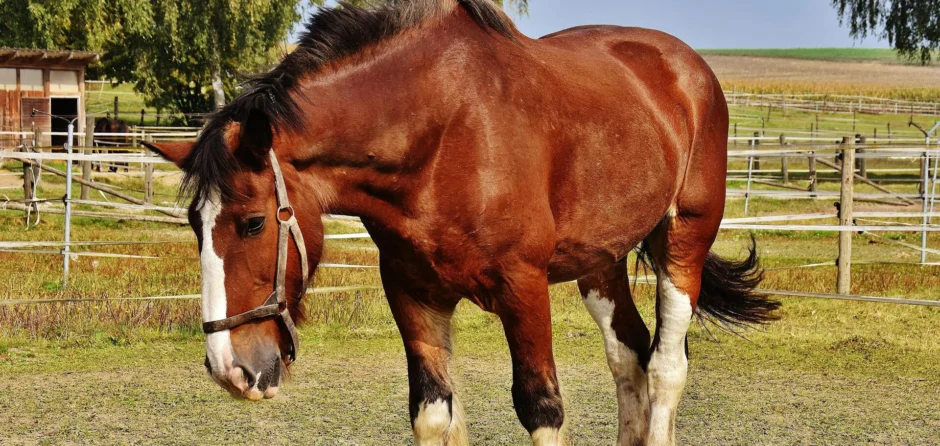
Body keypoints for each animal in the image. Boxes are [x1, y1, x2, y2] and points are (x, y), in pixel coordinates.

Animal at [145, 1, 778, 444]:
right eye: (196, 227)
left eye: (253, 223)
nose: (229, 369)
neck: (443, 135)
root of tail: (686, 66)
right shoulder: (413, 294)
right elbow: (432, 412)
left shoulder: (523, 289)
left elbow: (542, 408)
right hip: (600, 261)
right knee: (629, 354)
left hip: (683, 240)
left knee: (667, 366)